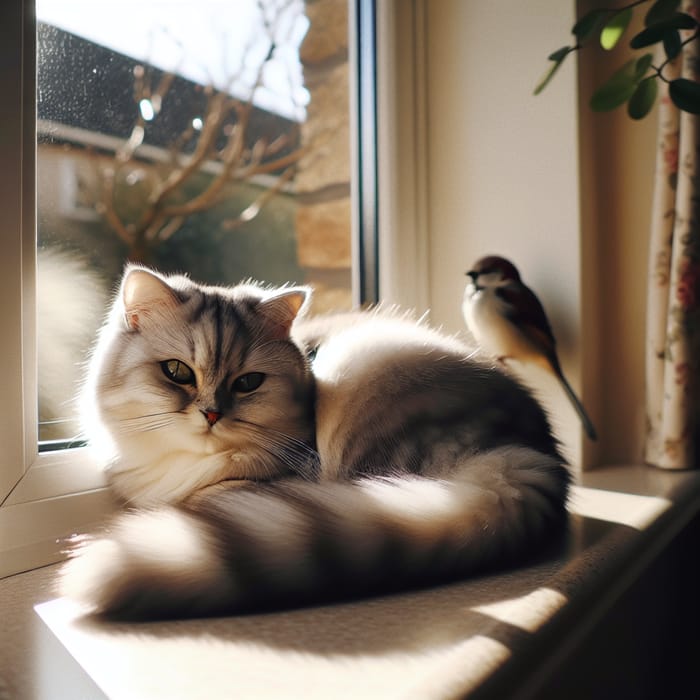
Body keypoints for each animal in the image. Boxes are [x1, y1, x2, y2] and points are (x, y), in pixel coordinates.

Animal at [58, 266, 568, 616]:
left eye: (248, 383)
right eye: (177, 372)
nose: (212, 414)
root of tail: (527, 452)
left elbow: (199, 501)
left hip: (359, 376)